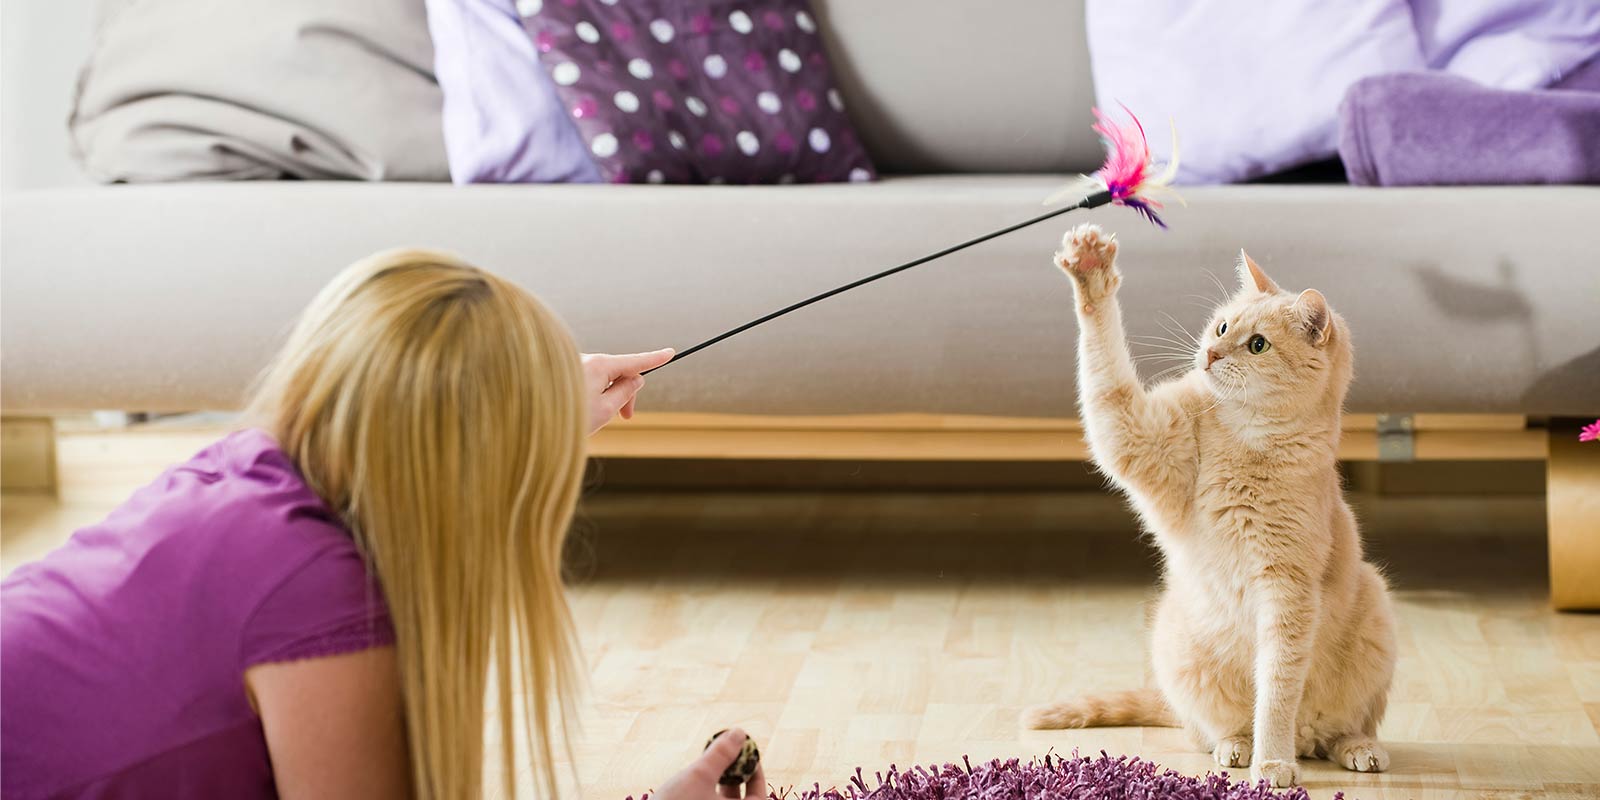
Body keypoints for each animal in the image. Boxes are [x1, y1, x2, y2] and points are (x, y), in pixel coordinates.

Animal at [1024, 225, 1401, 787]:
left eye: (1257, 344)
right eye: (1222, 325)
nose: (1210, 353)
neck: (1249, 443)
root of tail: (1309, 739)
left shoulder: (1287, 594)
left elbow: (1277, 689)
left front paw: (1274, 762)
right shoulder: (1140, 436)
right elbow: (1109, 384)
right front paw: (1091, 272)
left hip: (1375, 610)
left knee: (1340, 730)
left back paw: (1352, 749)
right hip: (1176, 643)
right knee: (1209, 731)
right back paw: (1236, 747)